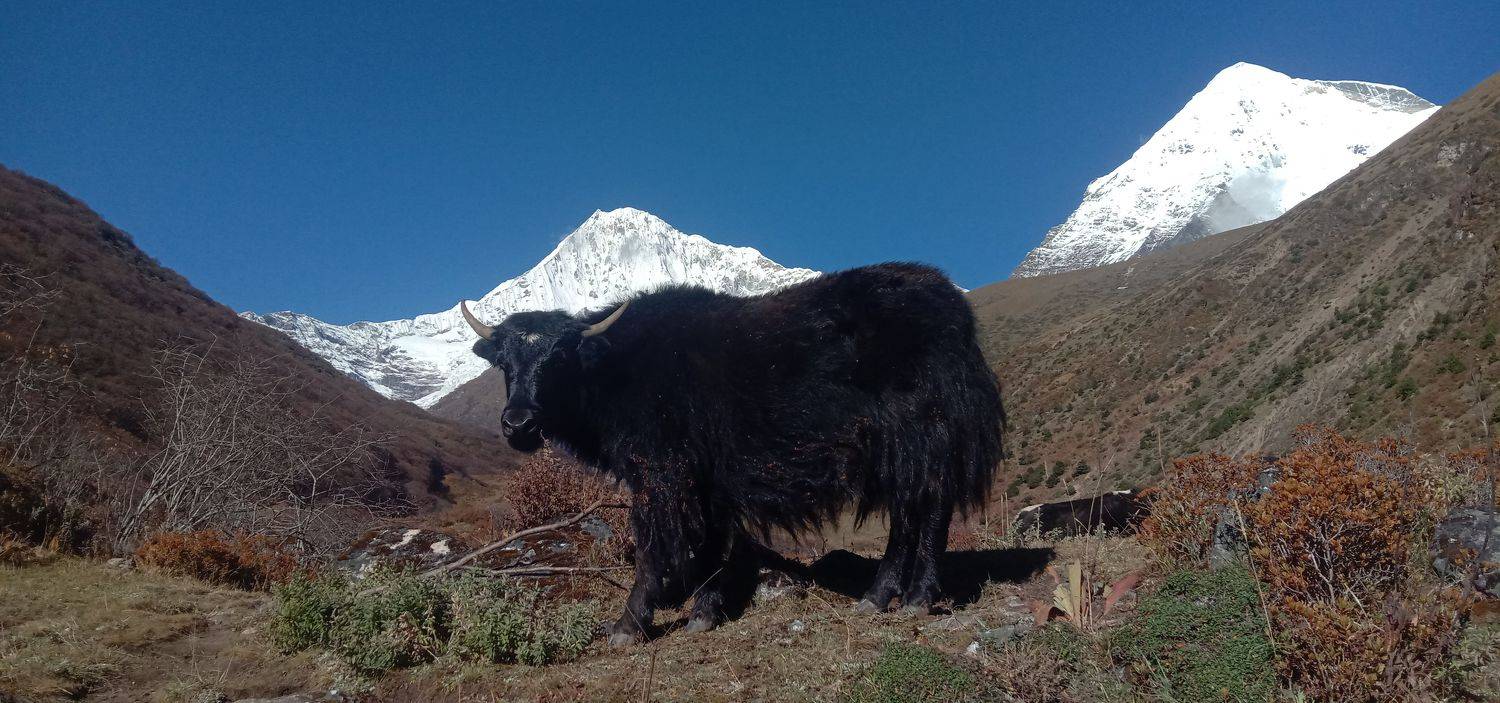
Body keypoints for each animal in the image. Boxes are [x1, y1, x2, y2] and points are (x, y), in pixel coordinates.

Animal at [459, 262, 1005, 645]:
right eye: (504, 363)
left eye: (558, 359)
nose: (518, 424)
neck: (614, 369)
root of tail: (955, 310)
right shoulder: (705, 480)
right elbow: (711, 543)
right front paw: (704, 613)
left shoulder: (661, 474)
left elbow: (655, 547)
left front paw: (629, 625)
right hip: (898, 452)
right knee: (909, 514)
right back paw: (880, 596)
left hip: (922, 438)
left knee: (929, 509)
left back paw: (916, 598)